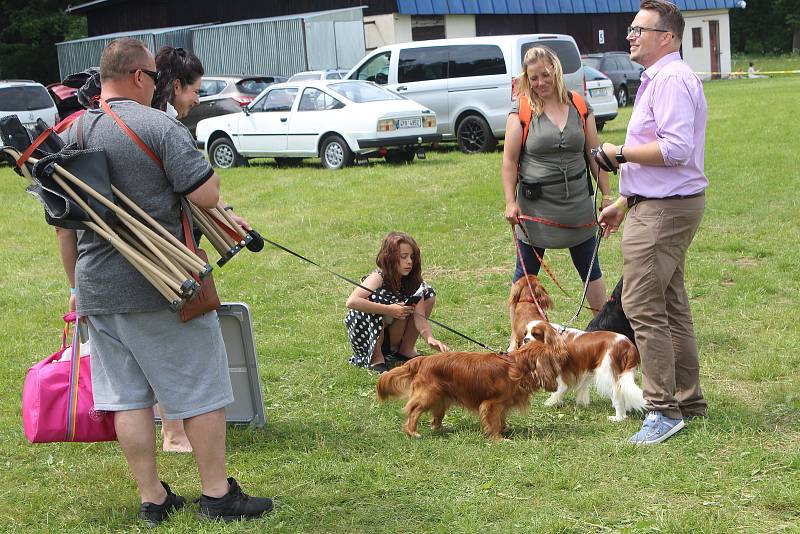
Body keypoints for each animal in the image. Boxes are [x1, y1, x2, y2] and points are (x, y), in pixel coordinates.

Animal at [376, 322, 568, 444]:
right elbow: (494, 421)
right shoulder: (491, 403)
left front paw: (504, 430)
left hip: (441, 397)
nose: (563, 357)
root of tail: (422, 360)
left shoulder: (502, 405)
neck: (517, 365)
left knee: (436, 416)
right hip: (428, 395)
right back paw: (413, 432)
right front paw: (498, 438)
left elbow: (501, 418)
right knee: (414, 411)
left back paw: (440, 428)